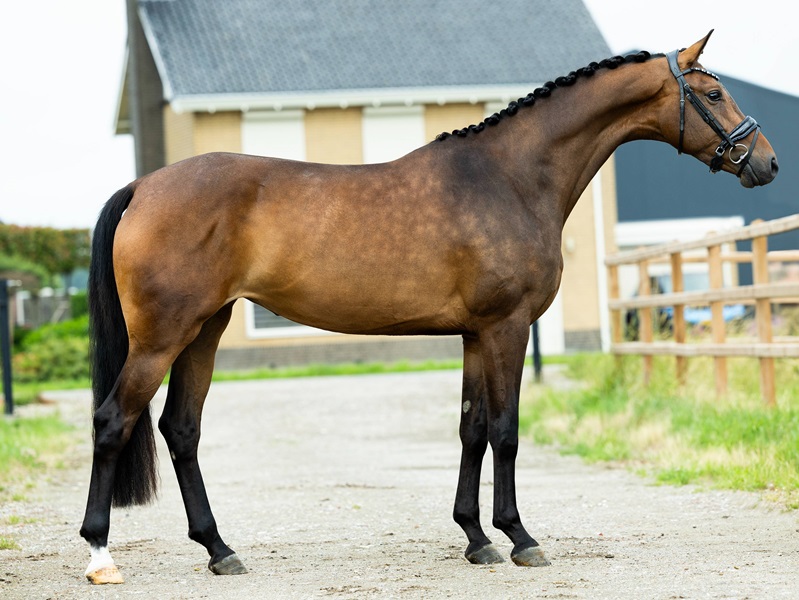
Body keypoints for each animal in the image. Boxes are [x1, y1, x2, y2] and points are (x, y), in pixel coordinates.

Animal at [80, 31, 778, 584]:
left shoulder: (474, 335)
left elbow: (472, 429)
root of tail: (143, 186)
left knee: (181, 430)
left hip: (205, 330)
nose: (767, 163)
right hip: (163, 338)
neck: (510, 177)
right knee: (113, 420)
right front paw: (520, 538)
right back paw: (100, 555)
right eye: (713, 94)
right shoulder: (506, 329)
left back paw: (220, 550)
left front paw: (475, 539)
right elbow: (506, 431)